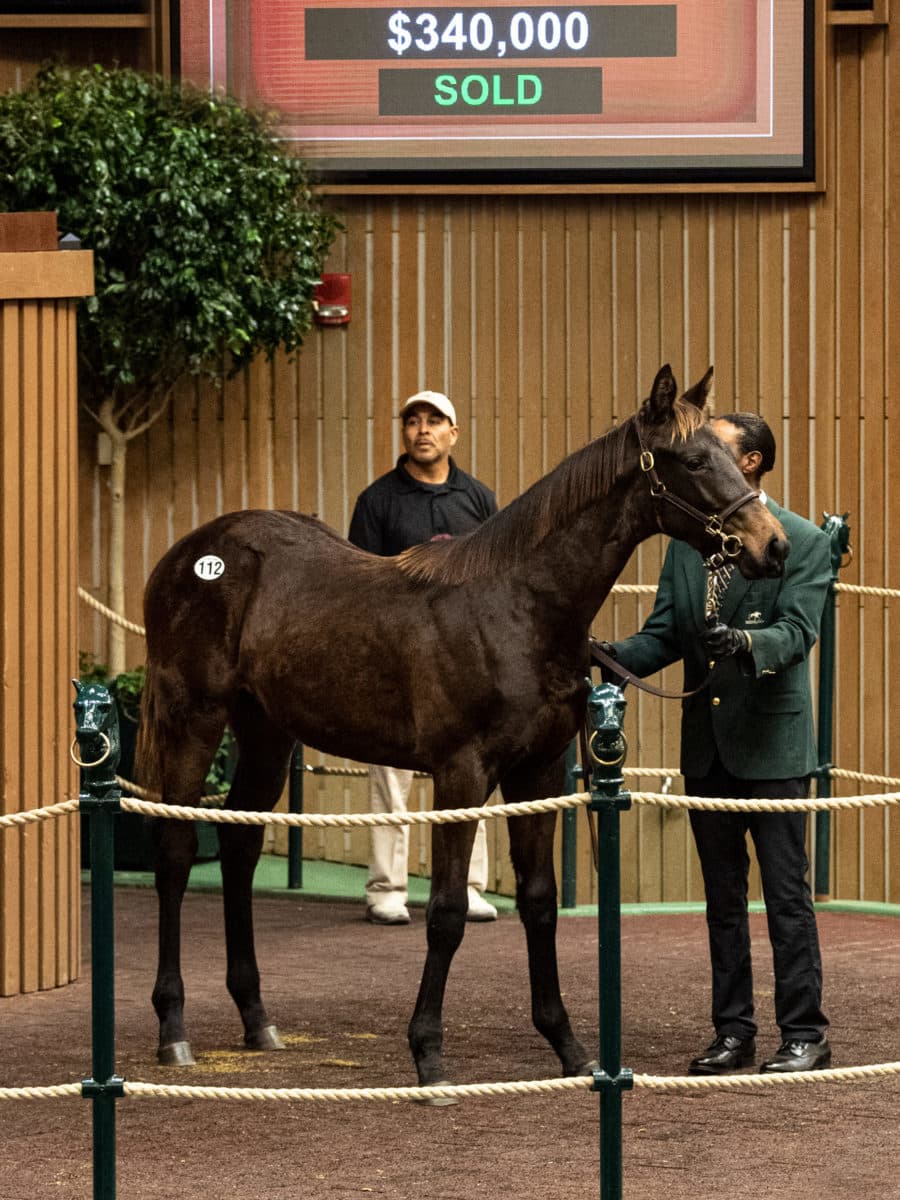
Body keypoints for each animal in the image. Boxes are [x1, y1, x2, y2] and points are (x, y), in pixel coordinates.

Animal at [135, 364, 787, 1089]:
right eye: (694, 460)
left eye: (732, 455)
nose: (773, 545)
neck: (518, 606)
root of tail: (188, 556)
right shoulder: (461, 773)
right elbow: (445, 911)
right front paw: (428, 1053)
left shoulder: (536, 772)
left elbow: (539, 899)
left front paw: (568, 1047)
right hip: (194, 718)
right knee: (175, 854)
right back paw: (173, 1029)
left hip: (267, 733)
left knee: (241, 847)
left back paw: (256, 1018)